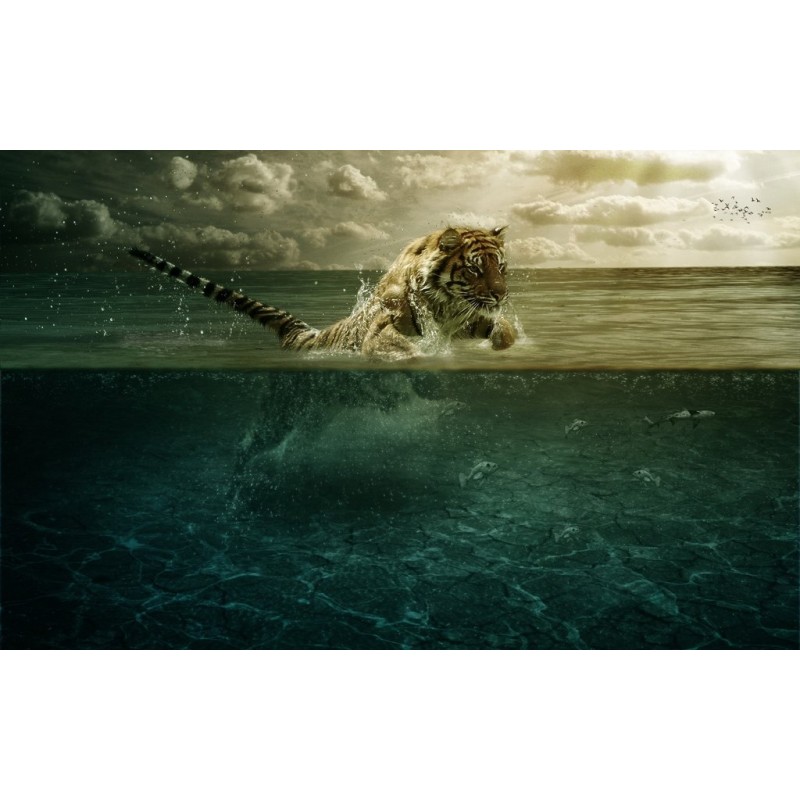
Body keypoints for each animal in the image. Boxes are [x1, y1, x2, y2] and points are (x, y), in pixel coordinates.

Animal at [128, 225, 517, 360]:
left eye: (501, 267)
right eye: (475, 269)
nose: (501, 296)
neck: (446, 306)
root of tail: (304, 334)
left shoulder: (466, 320)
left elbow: (504, 331)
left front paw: (502, 342)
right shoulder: (384, 328)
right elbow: (401, 347)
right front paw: (420, 356)